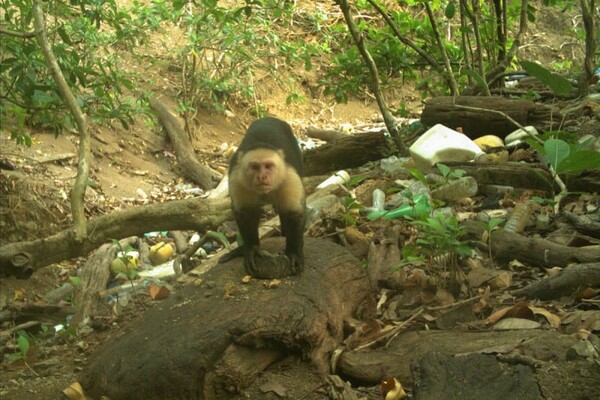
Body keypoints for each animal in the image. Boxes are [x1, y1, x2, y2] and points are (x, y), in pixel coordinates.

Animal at [223, 117, 304, 276]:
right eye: (255, 167)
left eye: (268, 166)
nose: (262, 177)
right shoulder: (237, 179)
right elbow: (245, 214)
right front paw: (251, 249)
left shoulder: (290, 178)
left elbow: (295, 214)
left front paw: (293, 253)